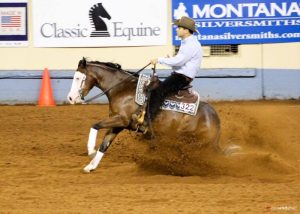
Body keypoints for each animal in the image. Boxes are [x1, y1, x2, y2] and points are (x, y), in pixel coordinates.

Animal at [68, 57, 223, 173]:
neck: (121, 88)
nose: (70, 98)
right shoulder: (118, 124)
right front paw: (91, 166)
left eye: (78, 78)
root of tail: (215, 118)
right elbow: (104, 144)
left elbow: (95, 125)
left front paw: (90, 151)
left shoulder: (121, 120)